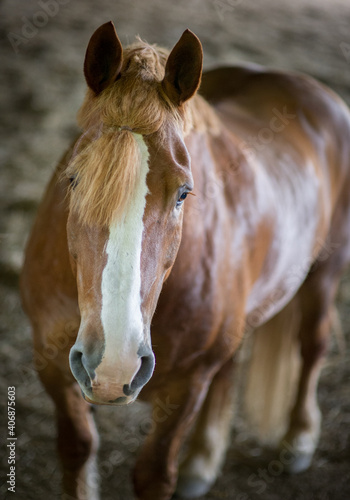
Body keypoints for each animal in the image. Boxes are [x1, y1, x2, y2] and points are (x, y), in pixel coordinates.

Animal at [20, 20, 350, 500]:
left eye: (183, 193)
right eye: (73, 179)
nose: (113, 363)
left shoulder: (187, 384)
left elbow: (154, 473)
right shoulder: (49, 361)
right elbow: (77, 448)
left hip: (325, 270)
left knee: (312, 343)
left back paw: (299, 439)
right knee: (232, 363)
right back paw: (203, 460)